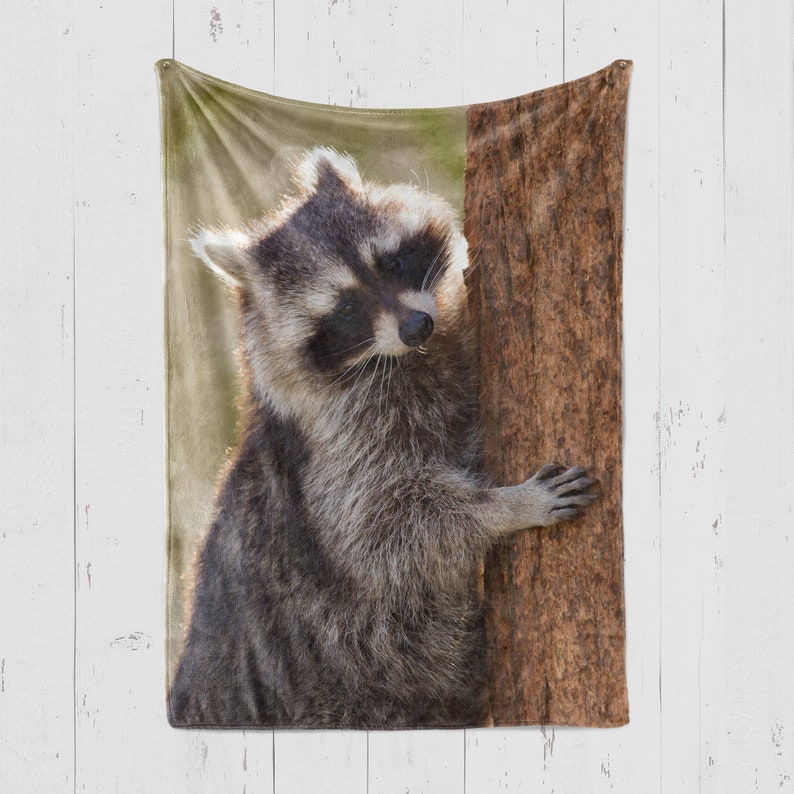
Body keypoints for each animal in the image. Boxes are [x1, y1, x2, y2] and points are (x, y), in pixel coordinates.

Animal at [168, 148, 598, 728]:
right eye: (346, 308)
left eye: (390, 263)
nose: (417, 327)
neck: (402, 360)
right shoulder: (335, 449)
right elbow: (381, 533)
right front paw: (503, 507)